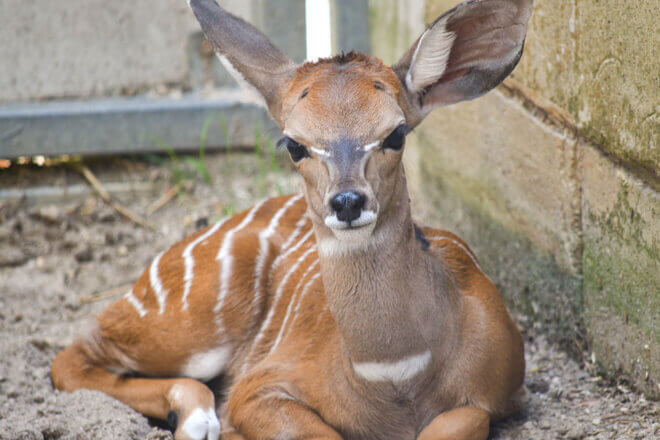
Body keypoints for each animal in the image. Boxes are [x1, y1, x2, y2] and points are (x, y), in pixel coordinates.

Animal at [52, 0, 536, 438]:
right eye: (294, 144)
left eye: (396, 133)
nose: (347, 202)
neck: (395, 375)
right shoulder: (260, 386)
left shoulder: (506, 390)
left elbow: (464, 418)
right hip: (184, 325)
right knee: (73, 355)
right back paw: (195, 420)